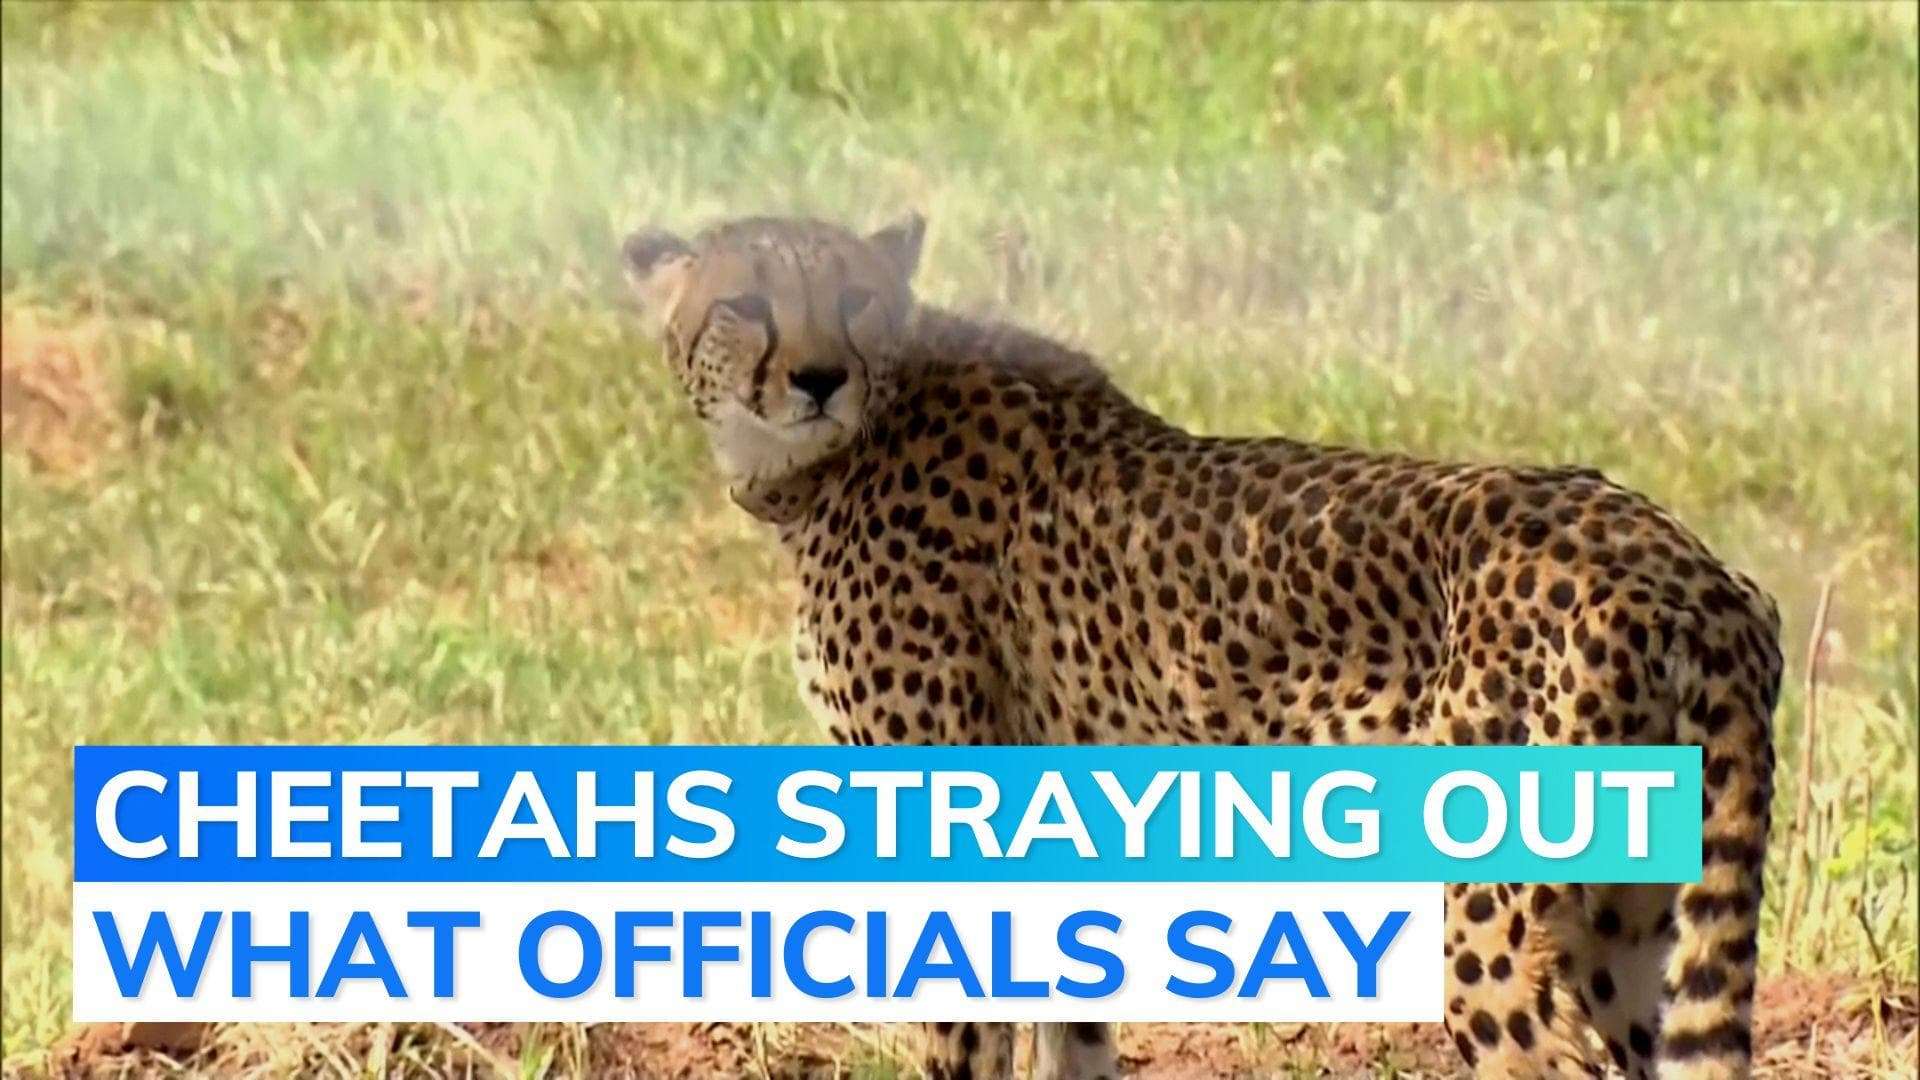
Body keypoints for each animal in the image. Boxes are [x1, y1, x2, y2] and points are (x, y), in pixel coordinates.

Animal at [619, 212, 1782, 1080]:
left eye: (853, 298)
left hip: (1497, 924)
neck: (850, 443)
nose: (818, 378)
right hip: (1635, 926)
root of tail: (1681, 561)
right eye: (746, 303)